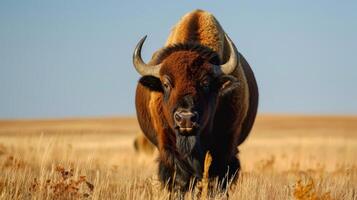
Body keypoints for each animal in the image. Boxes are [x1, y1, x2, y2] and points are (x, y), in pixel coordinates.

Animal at [132, 9, 258, 192]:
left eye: (205, 83)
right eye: (166, 83)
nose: (185, 118)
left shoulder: (225, 149)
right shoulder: (169, 149)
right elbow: (179, 180)